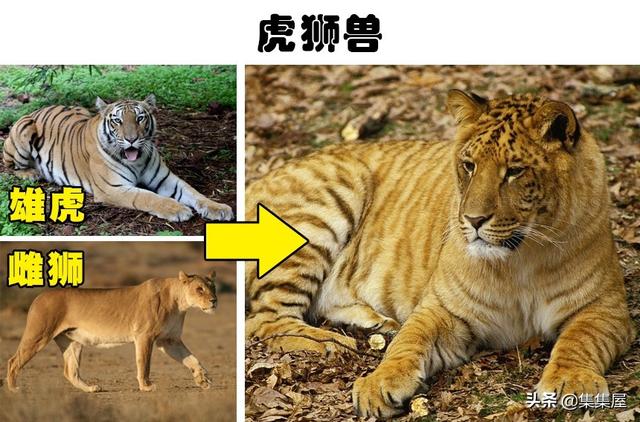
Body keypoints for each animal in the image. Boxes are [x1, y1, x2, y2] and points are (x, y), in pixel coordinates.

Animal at [2, 95, 233, 222]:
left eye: (140, 118)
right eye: (117, 121)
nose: (132, 139)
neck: (137, 161)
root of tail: (38, 108)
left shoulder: (166, 179)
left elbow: (193, 192)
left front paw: (219, 208)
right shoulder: (113, 188)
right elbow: (148, 197)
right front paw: (177, 209)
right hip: (24, 129)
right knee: (10, 165)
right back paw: (31, 173)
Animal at [245, 90, 636, 418]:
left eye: (514, 171)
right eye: (469, 165)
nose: (474, 220)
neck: (520, 260)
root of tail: (256, 180)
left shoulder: (606, 307)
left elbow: (579, 340)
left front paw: (571, 382)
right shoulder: (443, 308)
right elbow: (409, 342)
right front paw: (377, 384)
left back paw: (375, 324)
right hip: (329, 198)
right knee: (264, 320)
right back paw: (332, 343)